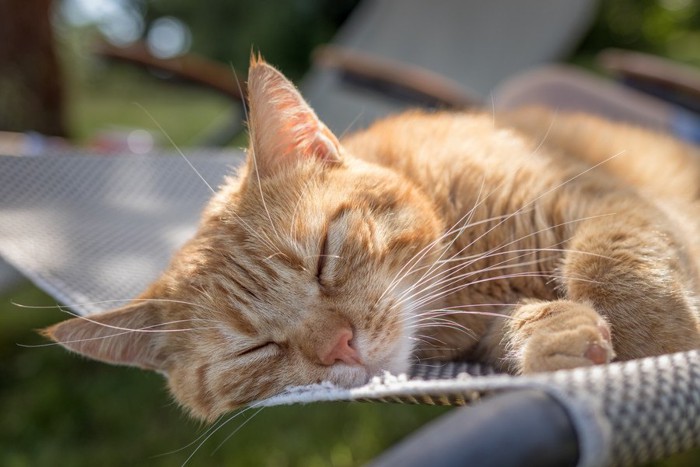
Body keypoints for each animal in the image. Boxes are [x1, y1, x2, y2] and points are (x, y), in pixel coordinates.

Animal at [43, 56, 700, 422]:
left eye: (323, 259)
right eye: (253, 349)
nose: (341, 347)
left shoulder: (597, 197)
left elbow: (609, 264)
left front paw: (662, 345)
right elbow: (523, 324)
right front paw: (557, 339)